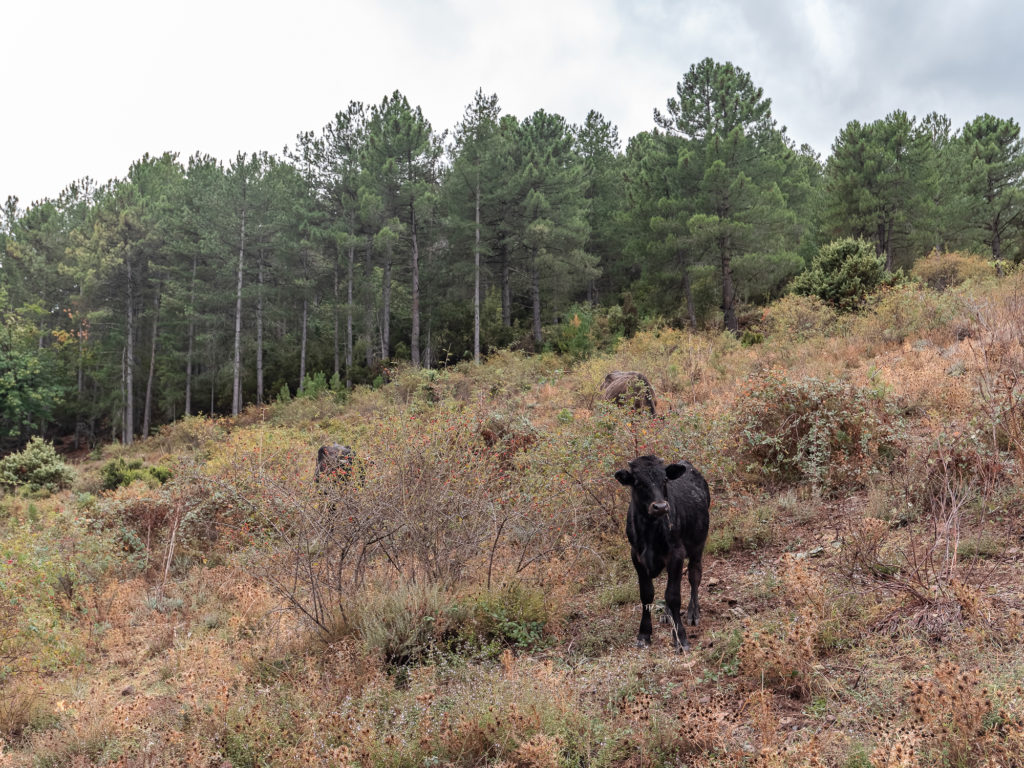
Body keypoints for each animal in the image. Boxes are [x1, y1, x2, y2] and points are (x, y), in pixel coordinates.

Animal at [614, 454, 712, 651]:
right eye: (638, 482)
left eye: (665, 480)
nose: (660, 506)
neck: (650, 530)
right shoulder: (636, 557)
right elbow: (646, 594)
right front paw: (644, 634)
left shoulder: (676, 554)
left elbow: (673, 595)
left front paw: (680, 637)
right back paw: (667, 615)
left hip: (698, 546)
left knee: (694, 576)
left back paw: (693, 613)